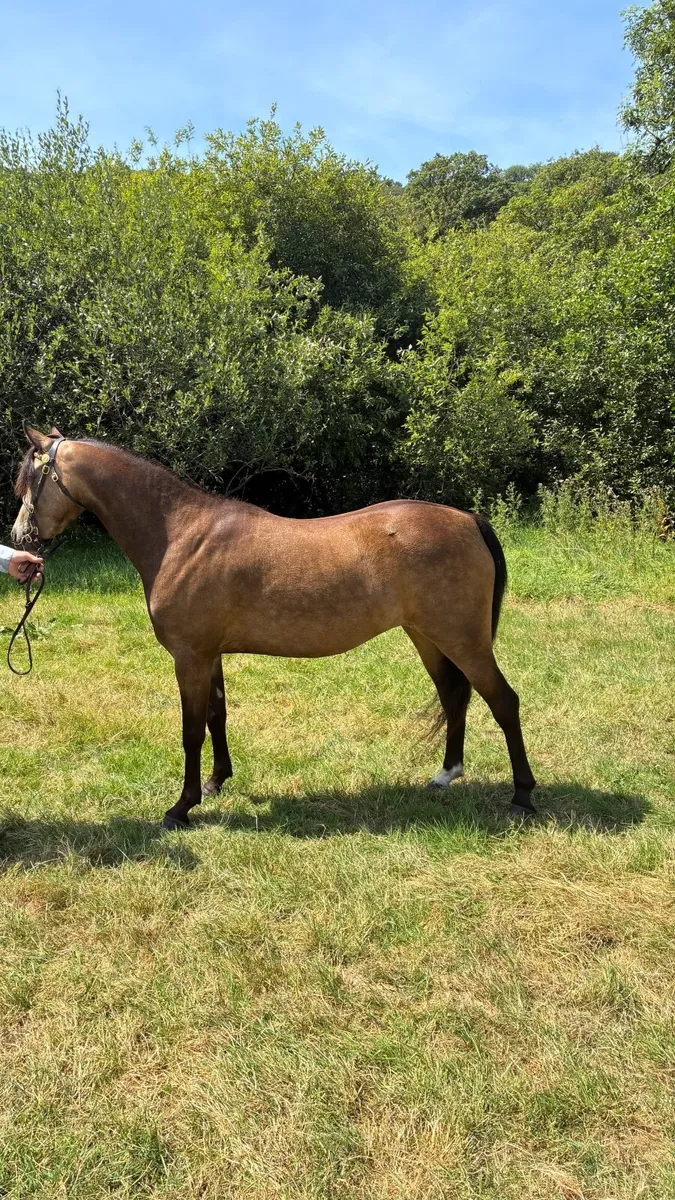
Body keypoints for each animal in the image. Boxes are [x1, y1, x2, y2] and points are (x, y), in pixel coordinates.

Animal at [11, 424, 536, 829]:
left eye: (31, 481)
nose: (20, 538)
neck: (181, 534)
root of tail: (468, 520)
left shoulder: (190, 657)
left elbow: (190, 730)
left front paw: (181, 808)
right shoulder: (209, 655)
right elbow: (217, 717)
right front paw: (215, 782)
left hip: (463, 640)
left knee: (503, 701)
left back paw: (523, 797)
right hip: (428, 637)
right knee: (453, 695)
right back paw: (446, 775)